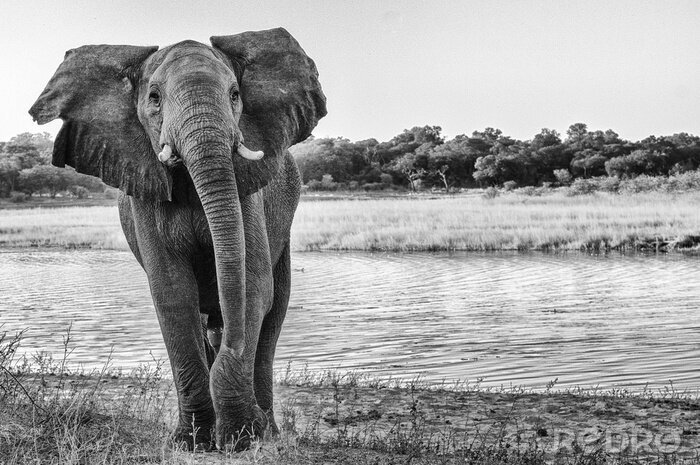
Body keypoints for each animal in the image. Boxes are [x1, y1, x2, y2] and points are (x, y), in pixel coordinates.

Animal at [29, 28, 326, 450]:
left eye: (235, 95)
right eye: (154, 98)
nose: (229, 344)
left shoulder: (248, 192)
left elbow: (253, 286)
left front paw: (241, 438)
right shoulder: (144, 192)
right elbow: (173, 293)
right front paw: (194, 442)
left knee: (273, 313)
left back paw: (268, 432)